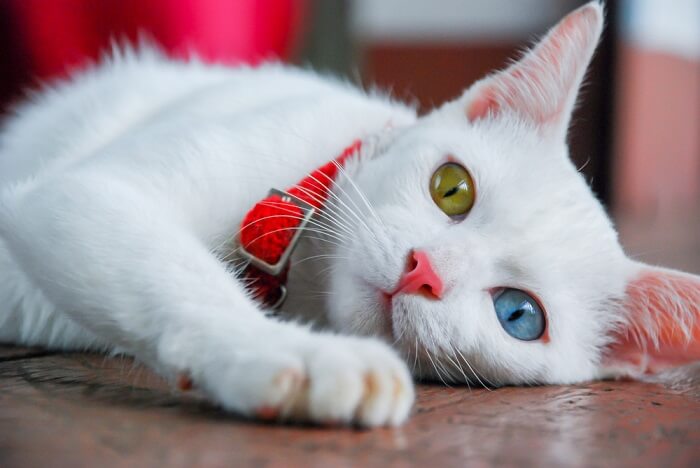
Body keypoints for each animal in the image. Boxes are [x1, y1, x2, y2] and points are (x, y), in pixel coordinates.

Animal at [1, 2, 700, 428]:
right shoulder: (84, 190)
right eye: (453, 188)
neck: (303, 279)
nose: (424, 270)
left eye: (520, 317)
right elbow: (180, 274)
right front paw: (299, 356)